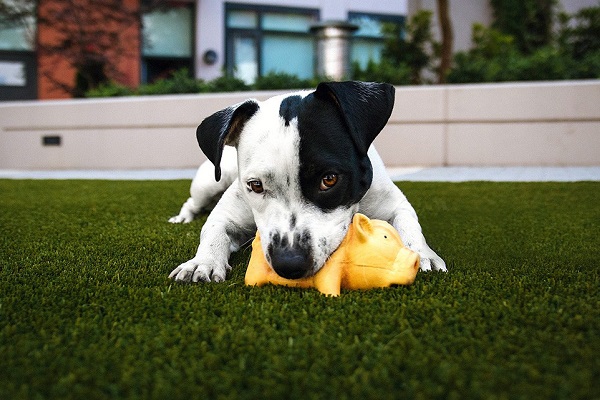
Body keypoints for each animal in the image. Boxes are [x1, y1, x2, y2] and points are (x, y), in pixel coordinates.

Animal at [169, 80, 446, 282]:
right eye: (255, 185)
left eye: (329, 179)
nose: (289, 263)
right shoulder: (227, 214)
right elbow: (213, 230)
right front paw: (202, 262)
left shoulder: (394, 204)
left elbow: (409, 224)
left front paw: (422, 254)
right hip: (210, 182)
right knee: (192, 202)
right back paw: (182, 218)